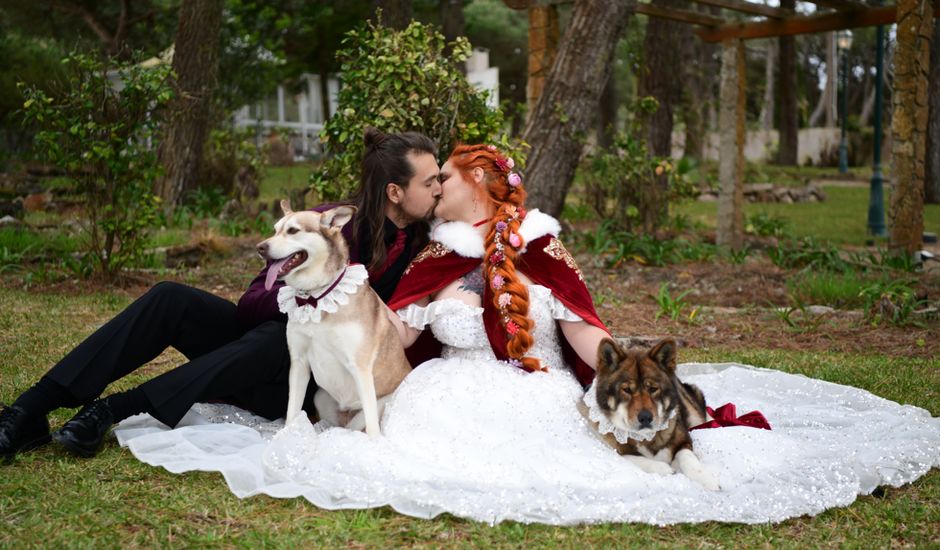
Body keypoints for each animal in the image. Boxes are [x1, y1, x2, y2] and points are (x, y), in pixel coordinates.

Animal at [255, 203, 410, 440]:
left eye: (293, 231)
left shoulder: (360, 367)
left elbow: (373, 427)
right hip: (321, 398)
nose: (260, 248)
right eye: (275, 230)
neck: (315, 298)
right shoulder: (299, 363)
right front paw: (289, 439)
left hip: (380, 403)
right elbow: (292, 411)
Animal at [584, 338, 724, 494]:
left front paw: (706, 480)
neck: (645, 437)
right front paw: (663, 468)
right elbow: (635, 458)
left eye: (653, 389)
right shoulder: (614, 449)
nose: (645, 417)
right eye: (626, 390)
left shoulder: (684, 440)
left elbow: (688, 457)